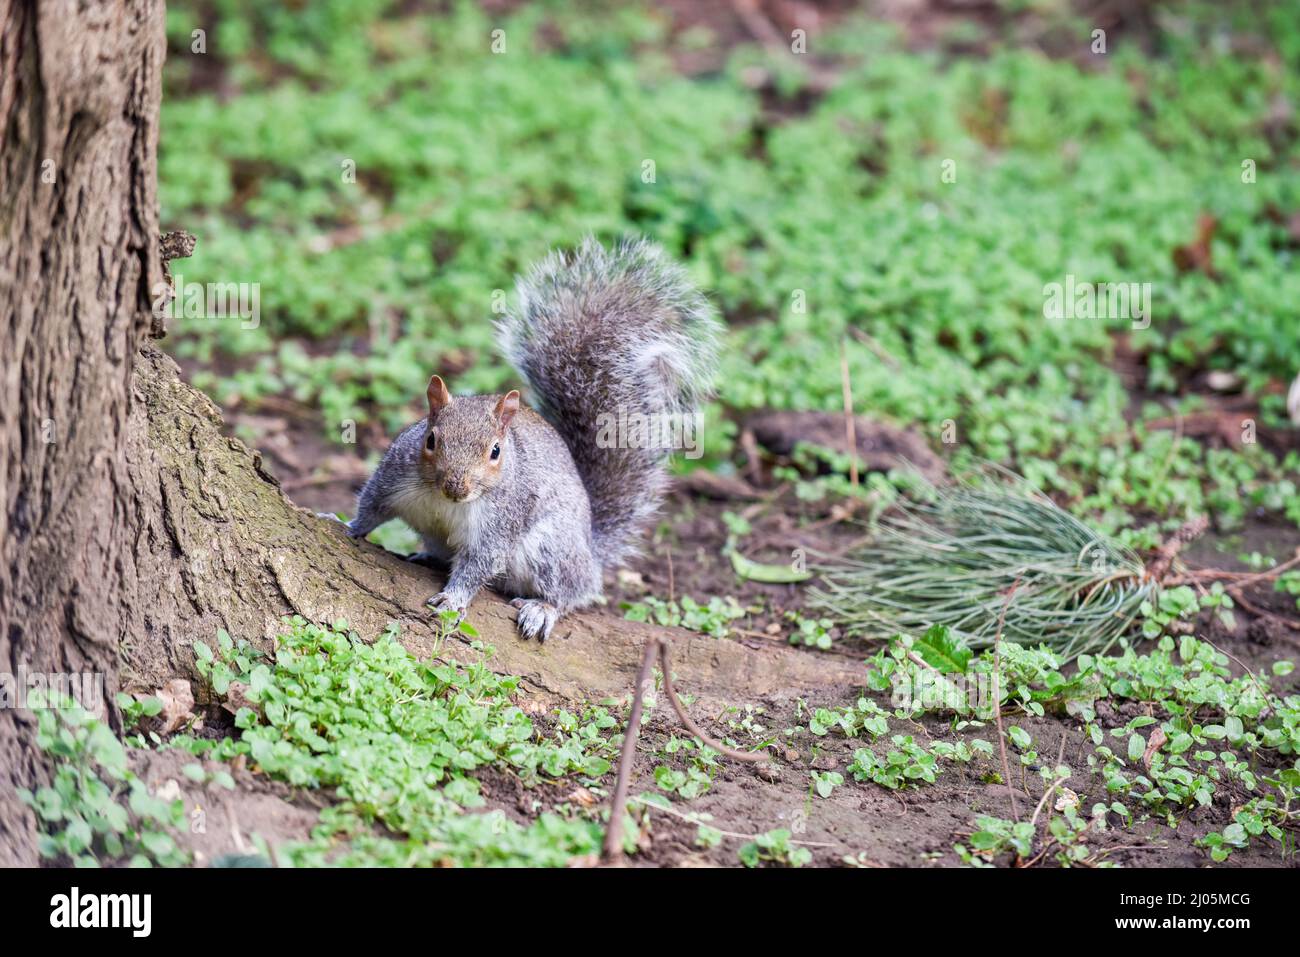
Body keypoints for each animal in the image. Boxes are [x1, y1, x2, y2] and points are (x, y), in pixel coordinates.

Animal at [345, 237, 722, 642]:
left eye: (495, 451)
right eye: (431, 440)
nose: (455, 487)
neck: (443, 502)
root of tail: (590, 552)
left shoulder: (500, 521)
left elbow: (480, 563)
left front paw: (453, 598)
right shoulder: (393, 477)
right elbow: (371, 507)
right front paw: (346, 526)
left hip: (551, 549)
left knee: (569, 592)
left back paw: (543, 608)